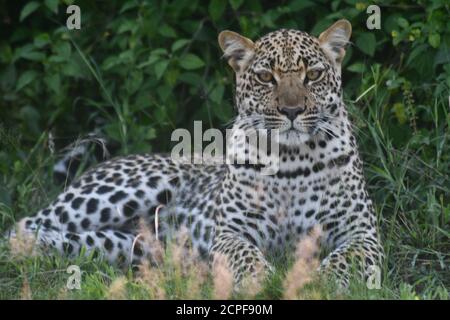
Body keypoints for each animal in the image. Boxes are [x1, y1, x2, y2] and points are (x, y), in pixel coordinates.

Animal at [6, 20, 384, 290]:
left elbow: (345, 259)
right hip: (125, 189)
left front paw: (322, 283)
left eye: (314, 74)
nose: (292, 111)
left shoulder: (362, 232)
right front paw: (262, 280)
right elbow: (245, 255)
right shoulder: (231, 232)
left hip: (122, 245)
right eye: (265, 77)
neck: (292, 158)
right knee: (20, 226)